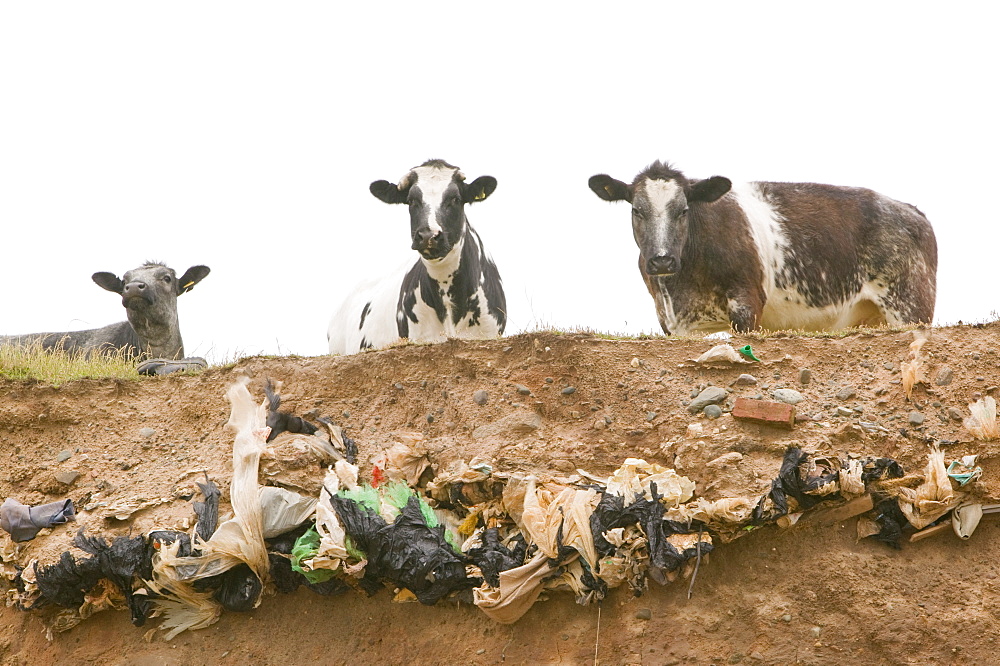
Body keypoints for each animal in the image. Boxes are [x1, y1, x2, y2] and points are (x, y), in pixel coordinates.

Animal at [584, 163, 936, 334]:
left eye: (683, 210)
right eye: (636, 210)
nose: (661, 261)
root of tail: (911, 209)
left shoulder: (747, 302)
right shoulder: (671, 320)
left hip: (910, 305)